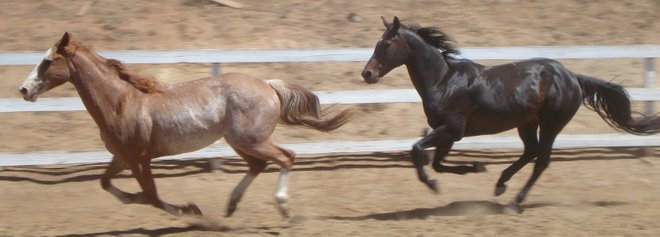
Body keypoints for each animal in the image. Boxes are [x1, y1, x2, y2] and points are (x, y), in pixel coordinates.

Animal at [18, 32, 354, 218]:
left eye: (47, 62)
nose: (23, 90)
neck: (120, 104)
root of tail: (268, 84)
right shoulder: (122, 158)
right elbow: (106, 183)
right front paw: (133, 198)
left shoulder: (140, 159)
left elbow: (153, 197)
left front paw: (188, 210)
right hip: (238, 141)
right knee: (259, 166)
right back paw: (231, 206)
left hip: (252, 140)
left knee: (286, 157)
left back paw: (283, 208)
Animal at [360, 16, 660, 213]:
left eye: (386, 44)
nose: (367, 74)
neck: (444, 80)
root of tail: (573, 77)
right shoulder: (451, 133)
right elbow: (438, 162)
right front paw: (475, 167)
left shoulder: (452, 129)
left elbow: (417, 150)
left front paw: (434, 185)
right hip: (526, 123)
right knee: (530, 152)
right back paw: (500, 184)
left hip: (551, 123)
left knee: (541, 160)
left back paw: (515, 202)